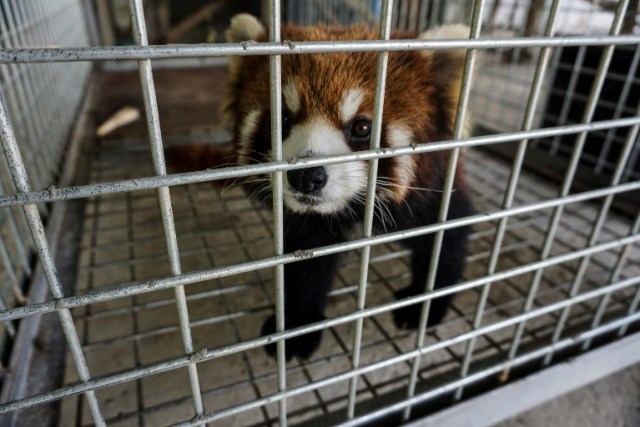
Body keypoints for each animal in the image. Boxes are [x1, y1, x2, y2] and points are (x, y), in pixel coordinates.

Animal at [172, 14, 472, 362]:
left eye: (362, 127)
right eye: (282, 120)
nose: (306, 176)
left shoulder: (432, 187)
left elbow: (445, 236)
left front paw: (424, 303)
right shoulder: (306, 224)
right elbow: (305, 265)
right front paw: (297, 327)